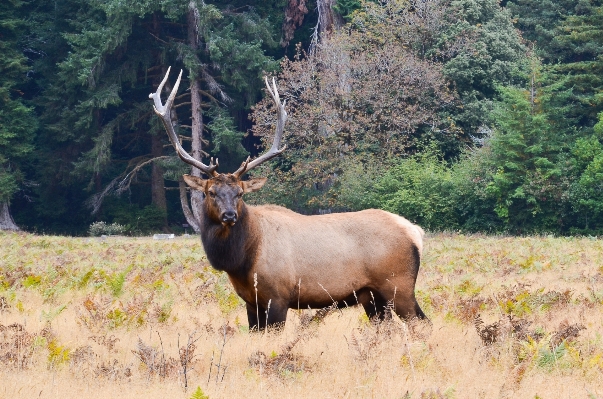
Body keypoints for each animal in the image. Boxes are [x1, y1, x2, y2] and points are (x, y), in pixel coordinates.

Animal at [150, 68, 424, 332]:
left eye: (240, 193)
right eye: (211, 192)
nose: (229, 215)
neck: (243, 260)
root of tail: (415, 232)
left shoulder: (278, 297)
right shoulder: (251, 301)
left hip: (399, 285)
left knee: (421, 323)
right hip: (371, 295)